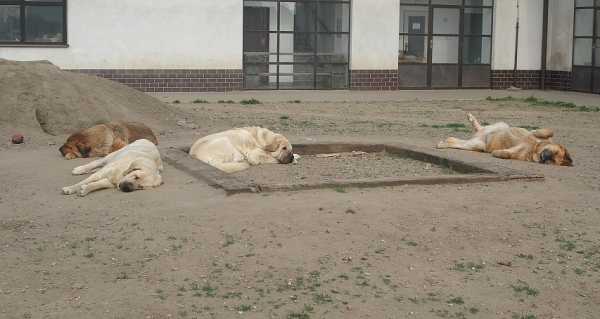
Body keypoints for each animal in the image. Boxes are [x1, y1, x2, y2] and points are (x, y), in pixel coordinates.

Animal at [436, 113, 572, 168]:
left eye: (553, 161)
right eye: (555, 153)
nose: (547, 158)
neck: (533, 148)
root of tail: (479, 136)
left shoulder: (515, 151)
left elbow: (506, 154)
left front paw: (496, 152)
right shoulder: (537, 134)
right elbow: (547, 132)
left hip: (474, 145)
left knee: (454, 141)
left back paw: (442, 144)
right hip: (502, 124)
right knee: (481, 127)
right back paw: (471, 118)